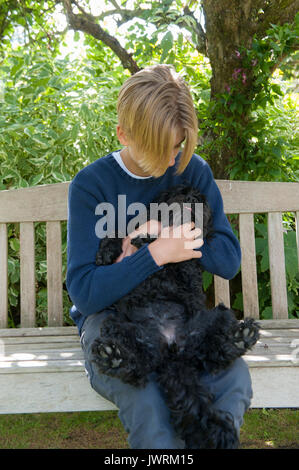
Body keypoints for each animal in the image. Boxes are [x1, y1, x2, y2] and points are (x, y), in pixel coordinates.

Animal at [91, 184, 260, 448]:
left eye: (202, 201)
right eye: (179, 194)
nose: (191, 200)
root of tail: (173, 354)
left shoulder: (186, 269)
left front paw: (149, 240)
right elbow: (118, 232)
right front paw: (107, 252)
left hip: (217, 315)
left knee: (213, 352)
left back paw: (239, 338)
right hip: (118, 325)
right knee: (137, 364)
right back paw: (114, 357)